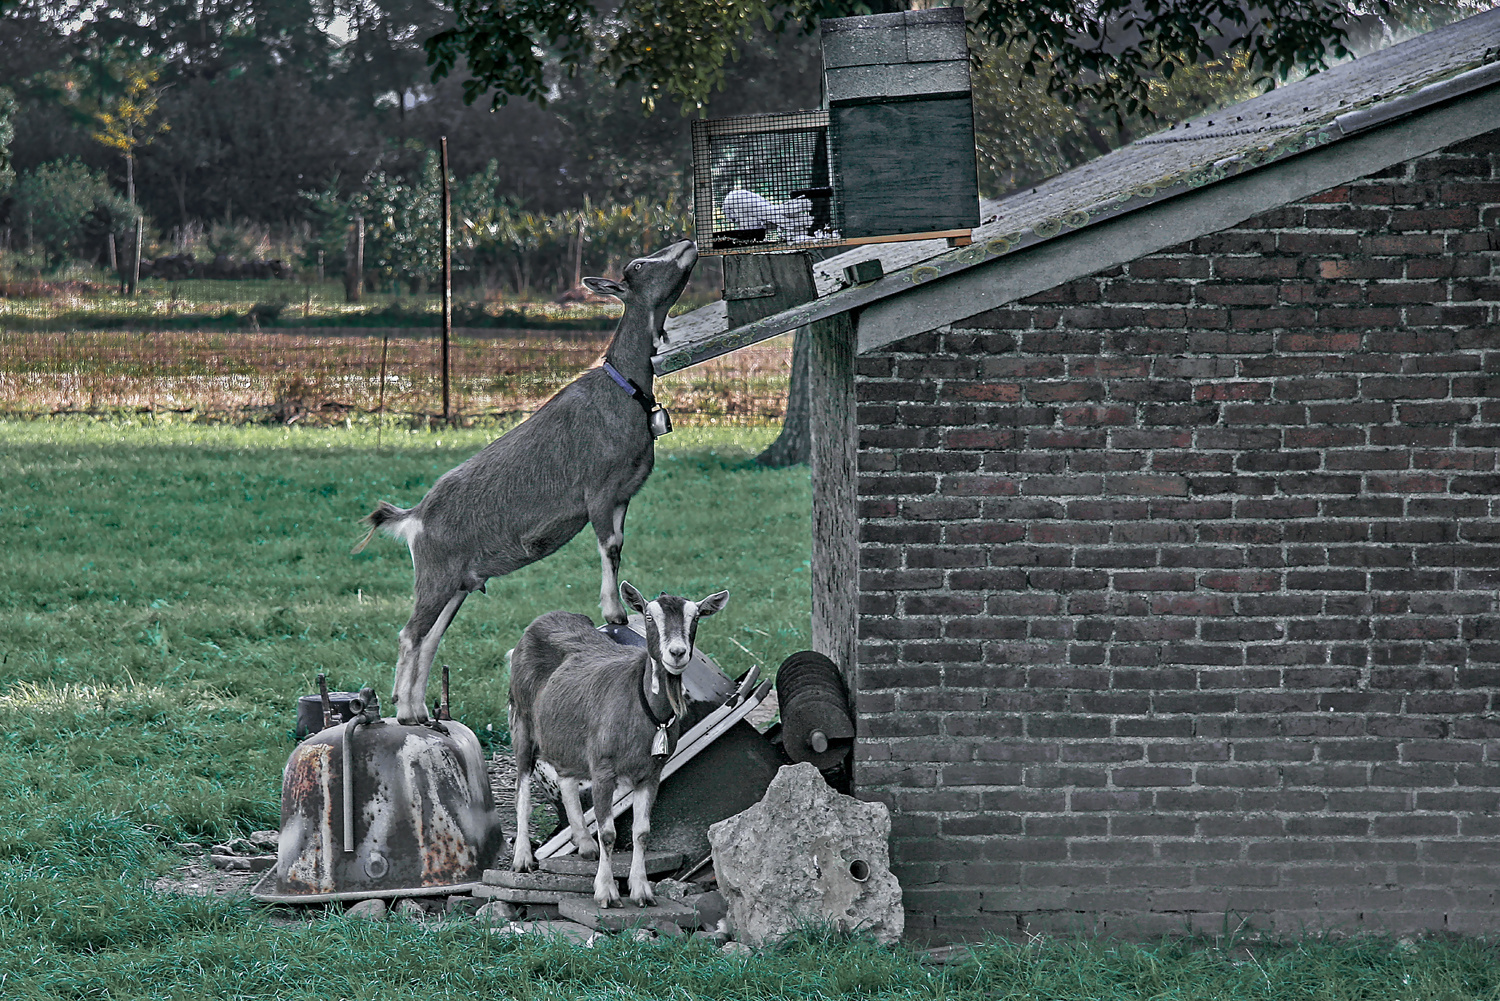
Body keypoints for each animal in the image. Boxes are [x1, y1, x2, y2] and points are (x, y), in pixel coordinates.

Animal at [354, 243, 699, 729]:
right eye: (637, 266)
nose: (687, 246)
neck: (624, 389)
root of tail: (415, 517)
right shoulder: (598, 491)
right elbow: (609, 547)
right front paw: (613, 612)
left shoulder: (622, 497)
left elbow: (618, 545)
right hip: (435, 575)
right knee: (410, 634)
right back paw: (404, 712)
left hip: (458, 584)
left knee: (431, 638)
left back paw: (421, 711)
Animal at [510, 579, 732, 906]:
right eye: (649, 616)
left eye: (696, 618)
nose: (677, 653)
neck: (644, 710)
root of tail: (544, 618)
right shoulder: (604, 769)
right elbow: (609, 833)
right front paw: (606, 891)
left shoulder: (652, 773)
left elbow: (641, 832)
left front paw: (641, 890)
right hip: (522, 719)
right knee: (523, 783)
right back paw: (523, 858)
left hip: (566, 735)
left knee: (565, 776)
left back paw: (584, 844)